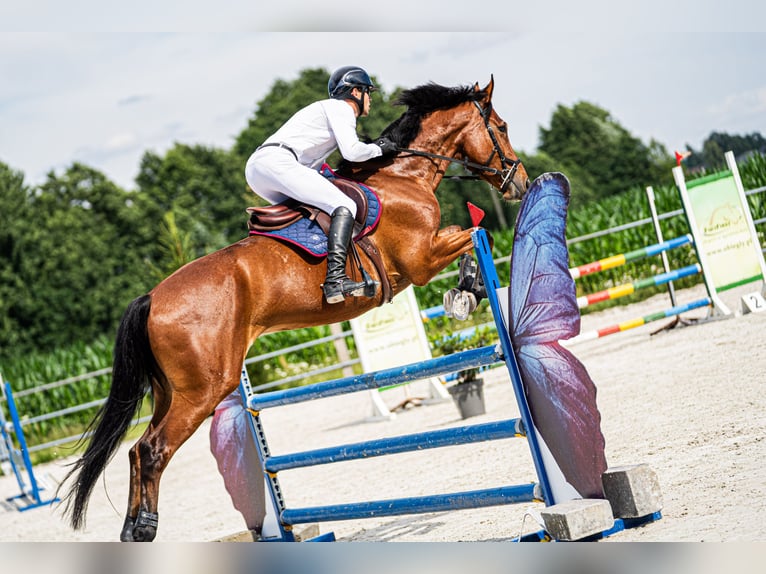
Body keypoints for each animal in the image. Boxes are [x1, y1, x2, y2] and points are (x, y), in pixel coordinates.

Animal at [60, 75, 532, 540]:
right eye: (502, 127)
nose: (521, 182)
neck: (402, 177)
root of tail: (152, 298)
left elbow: (471, 232)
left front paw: (466, 291)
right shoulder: (421, 261)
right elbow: (473, 232)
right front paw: (467, 293)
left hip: (171, 390)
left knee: (137, 451)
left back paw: (131, 529)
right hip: (205, 389)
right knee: (154, 448)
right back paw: (145, 528)